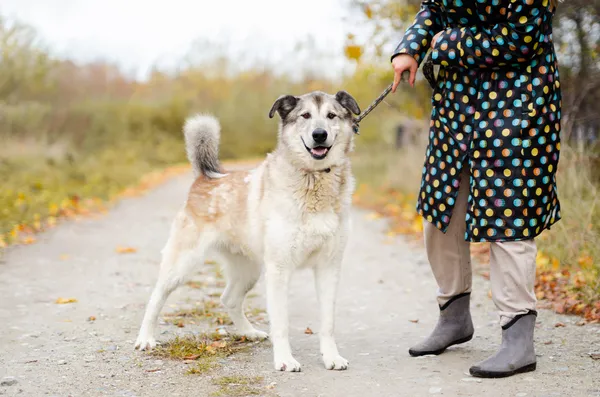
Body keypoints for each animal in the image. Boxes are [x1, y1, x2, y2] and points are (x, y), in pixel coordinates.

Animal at [135, 89, 360, 372]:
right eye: (305, 116)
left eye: (331, 116)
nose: (319, 134)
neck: (313, 178)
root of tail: (207, 177)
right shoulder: (279, 270)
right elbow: (281, 322)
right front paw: (285, 359)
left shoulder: (329, 268)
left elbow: (328, 323)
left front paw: (331, 357)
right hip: (182, 264)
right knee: (156, 297)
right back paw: (145, 338)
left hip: (249, 271)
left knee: (229, 298)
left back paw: (249, 332)